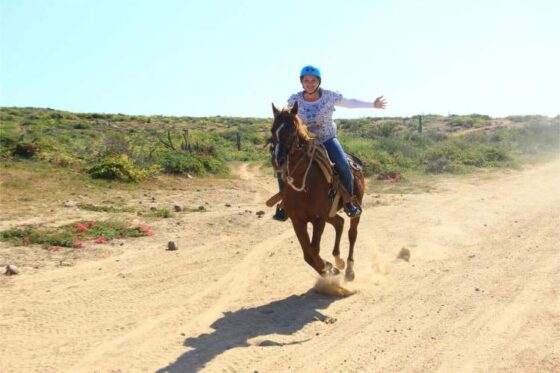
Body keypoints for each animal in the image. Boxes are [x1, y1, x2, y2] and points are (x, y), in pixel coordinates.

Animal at [272, 101, 368, 280]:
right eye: (273, 129)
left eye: (292, 129)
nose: (277, 160)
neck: (304, 183)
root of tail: (355, 162)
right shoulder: (298, 220)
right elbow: (308, 254)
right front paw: (329, 268)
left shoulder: (318, 219)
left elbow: (314, 250)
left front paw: (327, 267)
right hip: (329, 213)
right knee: (339, 223)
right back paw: (338, 261)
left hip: (354, 206)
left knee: (352, 233)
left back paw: (349, 269)